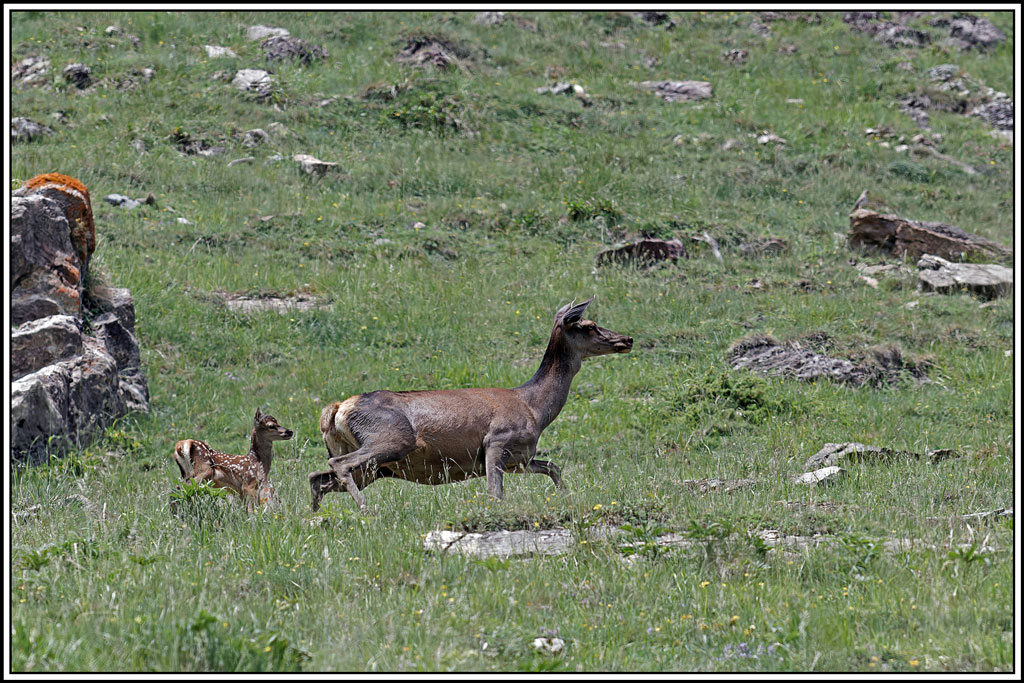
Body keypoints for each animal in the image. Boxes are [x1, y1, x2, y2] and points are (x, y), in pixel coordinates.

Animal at [308, 297, 633, 512]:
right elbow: (495, 494)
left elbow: (554, 466)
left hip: (373, 466)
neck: (536, 409)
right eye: (589, 325)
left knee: (317, 477)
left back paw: (314, 517)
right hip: (391, 439)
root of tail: (336, 410)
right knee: (337, 465)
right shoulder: (497, 441)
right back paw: (365, 509)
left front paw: (567, 499)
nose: (627, 339)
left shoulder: (521, 460)